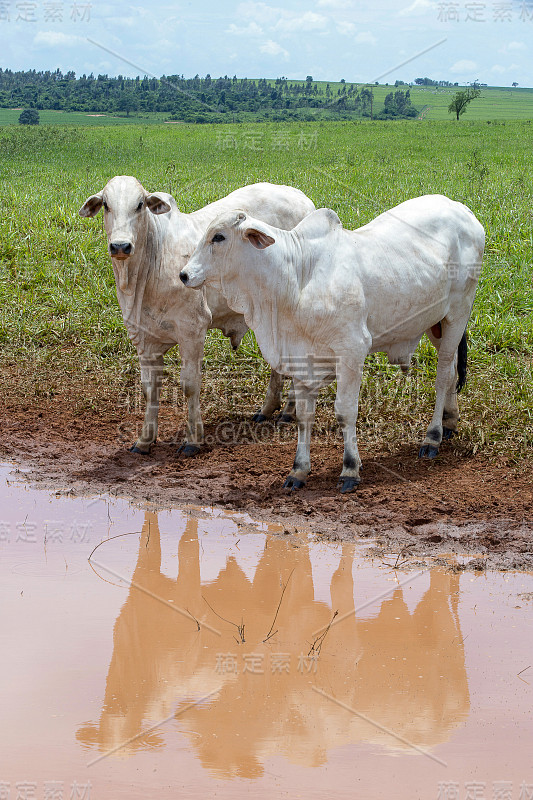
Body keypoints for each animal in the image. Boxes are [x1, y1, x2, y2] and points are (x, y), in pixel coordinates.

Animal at [78, 181, 312, 456]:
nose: (120, 246)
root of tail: (300, 196)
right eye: (106, 204)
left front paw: (193, 439)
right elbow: (149, 390)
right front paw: (145, 440)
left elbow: (189, 386)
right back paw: (270, 409)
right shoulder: (143, 338)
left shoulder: (192, 331)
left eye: (140, 204)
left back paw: (287, 411)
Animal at [181, 197, 484, 490]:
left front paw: (350, 469)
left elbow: (345, 412)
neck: (297, 278)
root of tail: (462, 209)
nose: (184, 275)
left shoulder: (352, 351)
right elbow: (304, 416)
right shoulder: (300, 358)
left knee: (443, 374)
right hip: (437, 323)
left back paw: (432, 437)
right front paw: (298, 470)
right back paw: (449, 421)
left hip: (458, 312)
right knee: (453, 369)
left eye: (218, 237)